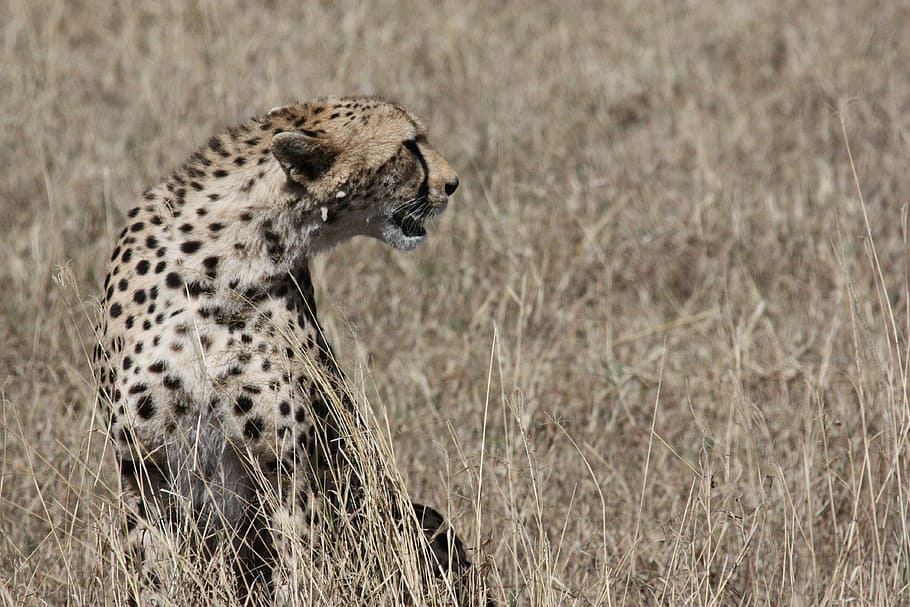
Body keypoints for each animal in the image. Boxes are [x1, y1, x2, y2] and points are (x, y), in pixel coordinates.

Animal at [91, 96, 488, 605]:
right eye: (409, 145)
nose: (452, 183)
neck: (227, 260)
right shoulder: (146, 466)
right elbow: (157, 569)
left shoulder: (286, 466)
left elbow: (301, 561)